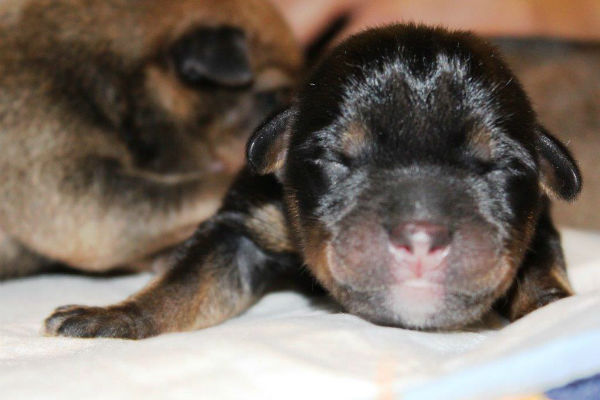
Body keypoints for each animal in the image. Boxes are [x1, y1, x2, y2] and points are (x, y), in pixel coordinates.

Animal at [44, 24, 580, 338]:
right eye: (336, 158)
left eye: (501, 169)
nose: (421, 236)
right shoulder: (246, 223)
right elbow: (183, 283)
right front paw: (111, 317)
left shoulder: (537, 224)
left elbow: (540, 269)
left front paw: (553, 309)